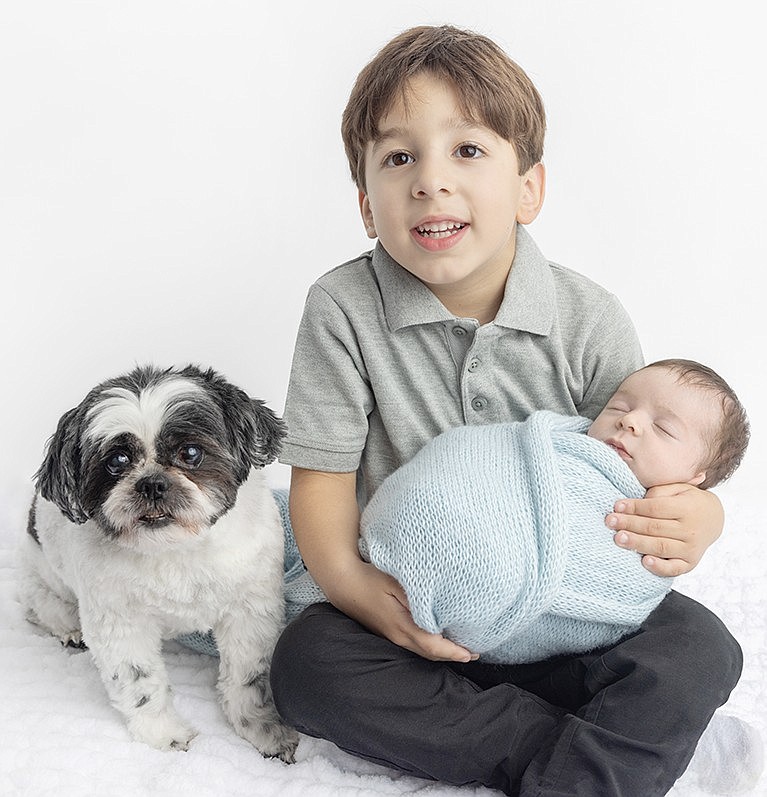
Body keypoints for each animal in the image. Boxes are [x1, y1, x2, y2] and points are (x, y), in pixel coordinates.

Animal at [17, 364, 300, 760]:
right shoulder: (121, 623)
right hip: (42, 574)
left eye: (191, 452)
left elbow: (248, 677)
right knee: (38, 603)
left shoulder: (250, 610)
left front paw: (262, 728)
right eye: (116, 462)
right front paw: (163, 733)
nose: (151, 483)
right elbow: (140, 683)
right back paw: (67, 628)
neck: (176, 550)